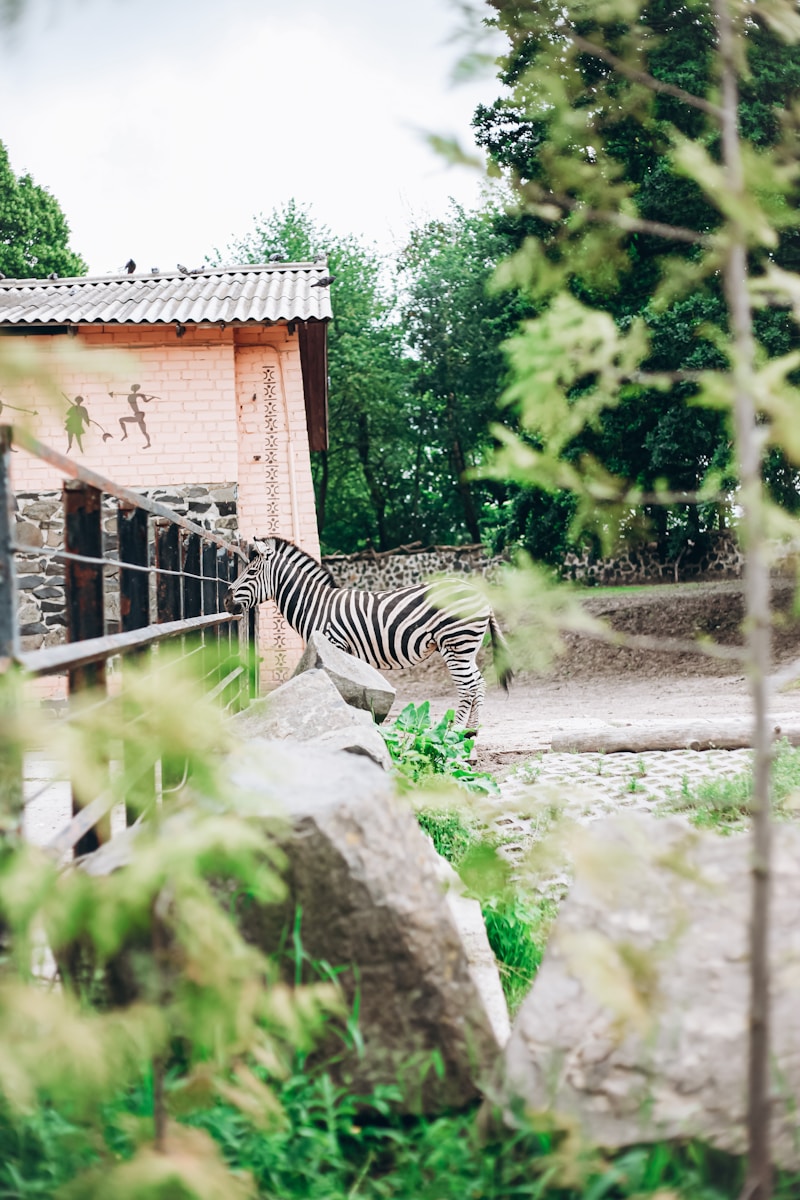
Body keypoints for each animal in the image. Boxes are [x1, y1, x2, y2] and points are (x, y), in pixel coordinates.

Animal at [225, 537, 513, 724]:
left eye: (251, 573)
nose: (226, 601)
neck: (315, 604)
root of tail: (479, 594)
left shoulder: (332, 645)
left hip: (456, 644)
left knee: (467, 689)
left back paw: (456, 740)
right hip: (466, 648)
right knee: (479, 683)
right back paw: (470, 739)